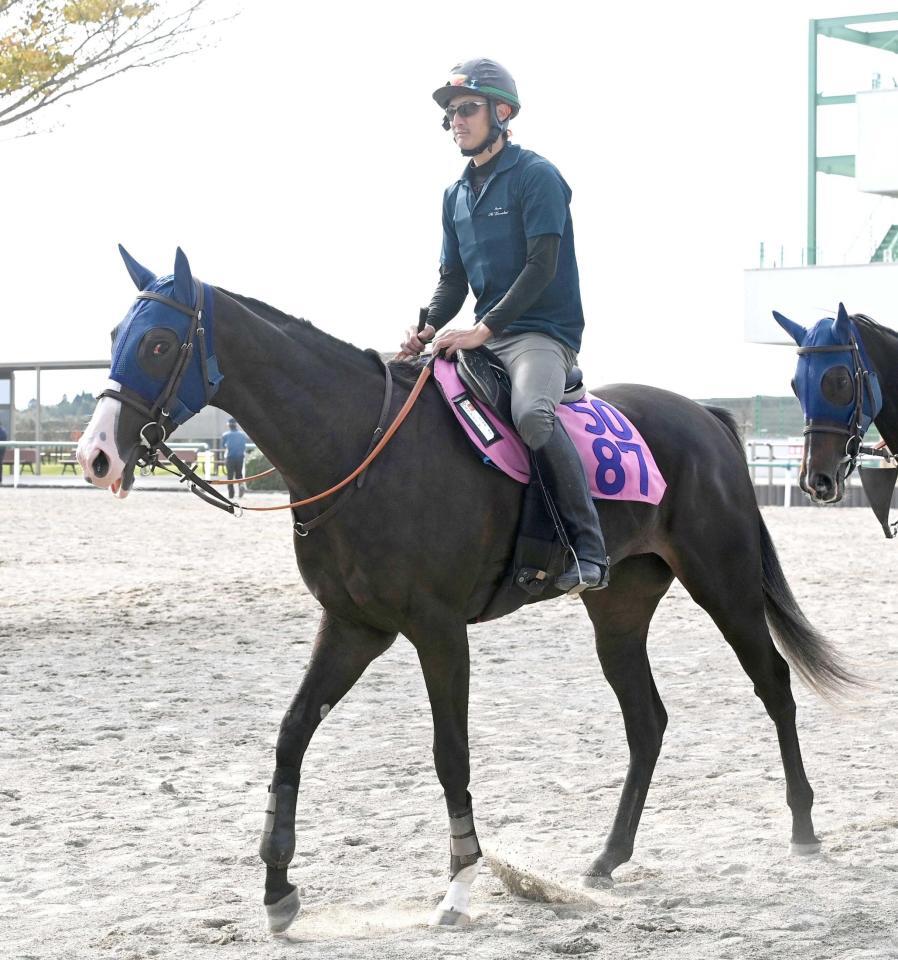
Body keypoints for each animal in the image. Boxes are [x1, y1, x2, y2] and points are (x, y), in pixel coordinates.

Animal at [77, 247, 856, 934]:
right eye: (116, 337)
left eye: (157, 343)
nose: (97, 455)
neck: (361, 446)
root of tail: (709, 420)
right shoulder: (353, 626)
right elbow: (292, 733)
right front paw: (277, 889)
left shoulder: (438, 630)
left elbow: (450, 752)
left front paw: (457, 889)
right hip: (618, 610)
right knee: (647, 720)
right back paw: (608, 858)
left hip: (725, 585)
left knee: (774, 683)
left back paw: (803, 827)